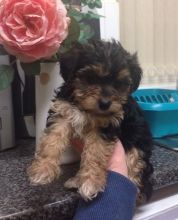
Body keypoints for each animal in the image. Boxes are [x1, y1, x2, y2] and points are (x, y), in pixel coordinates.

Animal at [27, 40, 153, 202]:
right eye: (91, 78)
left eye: (118, 84)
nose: (105, 103)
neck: (87, 110)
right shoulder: (63, 112)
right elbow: (51, 140)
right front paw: (43, 169)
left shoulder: (107, 125)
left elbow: (96, 151)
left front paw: (91, 182)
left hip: (137, 144)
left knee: (136, 166)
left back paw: (135, 189)